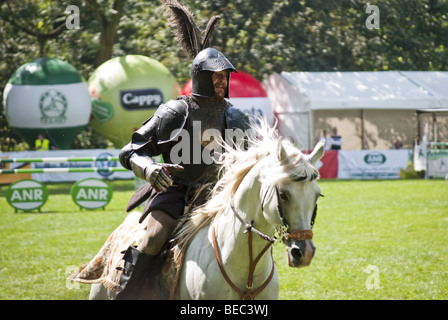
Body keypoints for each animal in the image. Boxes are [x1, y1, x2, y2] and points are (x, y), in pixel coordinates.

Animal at [80, 122, 324, 300]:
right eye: (283, 194)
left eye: (317, 195)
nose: (303, 252)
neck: (247, 265)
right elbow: (135, 149)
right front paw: (156, 172)